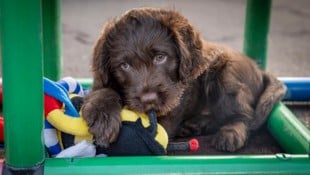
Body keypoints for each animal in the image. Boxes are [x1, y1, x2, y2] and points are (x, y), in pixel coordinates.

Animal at [81, 7, 286, 151]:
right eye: (124, 66)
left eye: (160, 57)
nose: (148, 99)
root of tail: (260, 69)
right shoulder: (102, 80)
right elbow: (103, 90)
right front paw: (102, 117)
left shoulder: (173, 105)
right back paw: (195, 125)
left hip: (226, 72)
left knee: (244, 115)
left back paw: (230, 133)